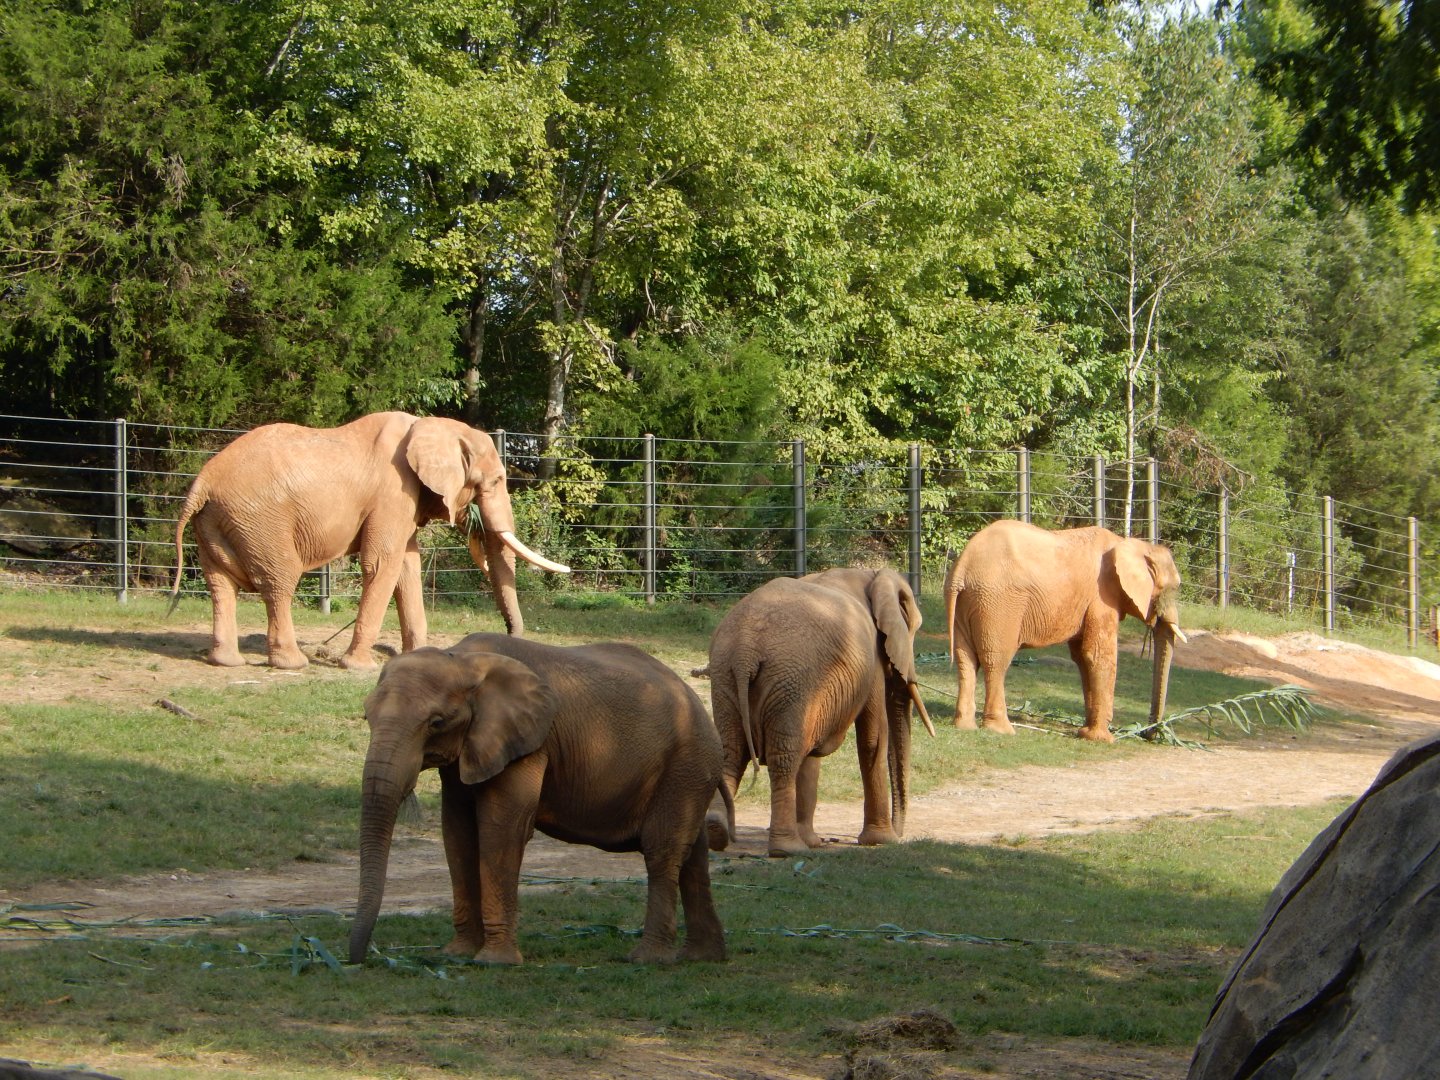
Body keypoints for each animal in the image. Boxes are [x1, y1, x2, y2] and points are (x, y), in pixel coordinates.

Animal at [168, 411, 568, 670]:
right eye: (498, 480)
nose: (511, 636)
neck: (432, 425)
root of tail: (203, 482)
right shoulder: (393, 491)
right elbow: (382, 563)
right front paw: (359, 668)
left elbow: (407, 566)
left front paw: (418, 658)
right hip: (260, 521)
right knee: (278, 582)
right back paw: (292, 664)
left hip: (219, 521)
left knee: (220, 584)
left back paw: (226, 662)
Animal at [349, 632, 730, 966]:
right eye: (367, 716)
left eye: (436, 722)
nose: (359, 960)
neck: (461, 658)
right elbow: (457, 833)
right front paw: (456, 955)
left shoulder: (529, 744)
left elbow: (501, 830)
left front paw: (494, 962)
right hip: (687, 772)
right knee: (693, 853)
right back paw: (702, 957)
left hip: (685, 763)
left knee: (661, 850)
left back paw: (647, 959)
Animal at [703, 567, 935, 859]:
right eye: (915, 628)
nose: (901, 832)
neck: (871, 575)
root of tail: (745, 652)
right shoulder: (870, 661)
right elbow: (872, 740)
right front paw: (883, 841)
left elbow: (812, 755)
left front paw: (813, 841)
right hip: (789, 682)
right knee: (783, 760)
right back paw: (787, 849)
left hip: (727, 677)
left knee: (732, 754)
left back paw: (717, 833)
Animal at [942, 519, 1186, 742]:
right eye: (1174, 588)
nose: (1149, 733)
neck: (1132, 544)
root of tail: (963, 565)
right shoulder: (1102, 596)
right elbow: (1098, 656)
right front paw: (1103, 739)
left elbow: (1083, 657)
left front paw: (1086, 733)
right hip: (997, 602)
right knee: (997, 660)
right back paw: (1002, 730)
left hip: (968, 601)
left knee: (966, 659)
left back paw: (965, 727)